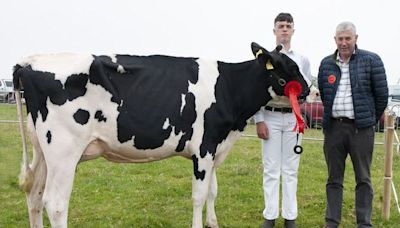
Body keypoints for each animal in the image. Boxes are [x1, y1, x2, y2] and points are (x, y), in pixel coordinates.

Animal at [14, 41, 310, 227]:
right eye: (289, 68)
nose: (309, 90)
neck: (227, 87)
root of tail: (29, 61)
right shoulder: (203, 149)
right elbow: (199, 195)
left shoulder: (215, 147)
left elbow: (213, 191)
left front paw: (213, 223)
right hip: (63, 150)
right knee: (55, 203)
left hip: (44, 152)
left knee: (35, 194)